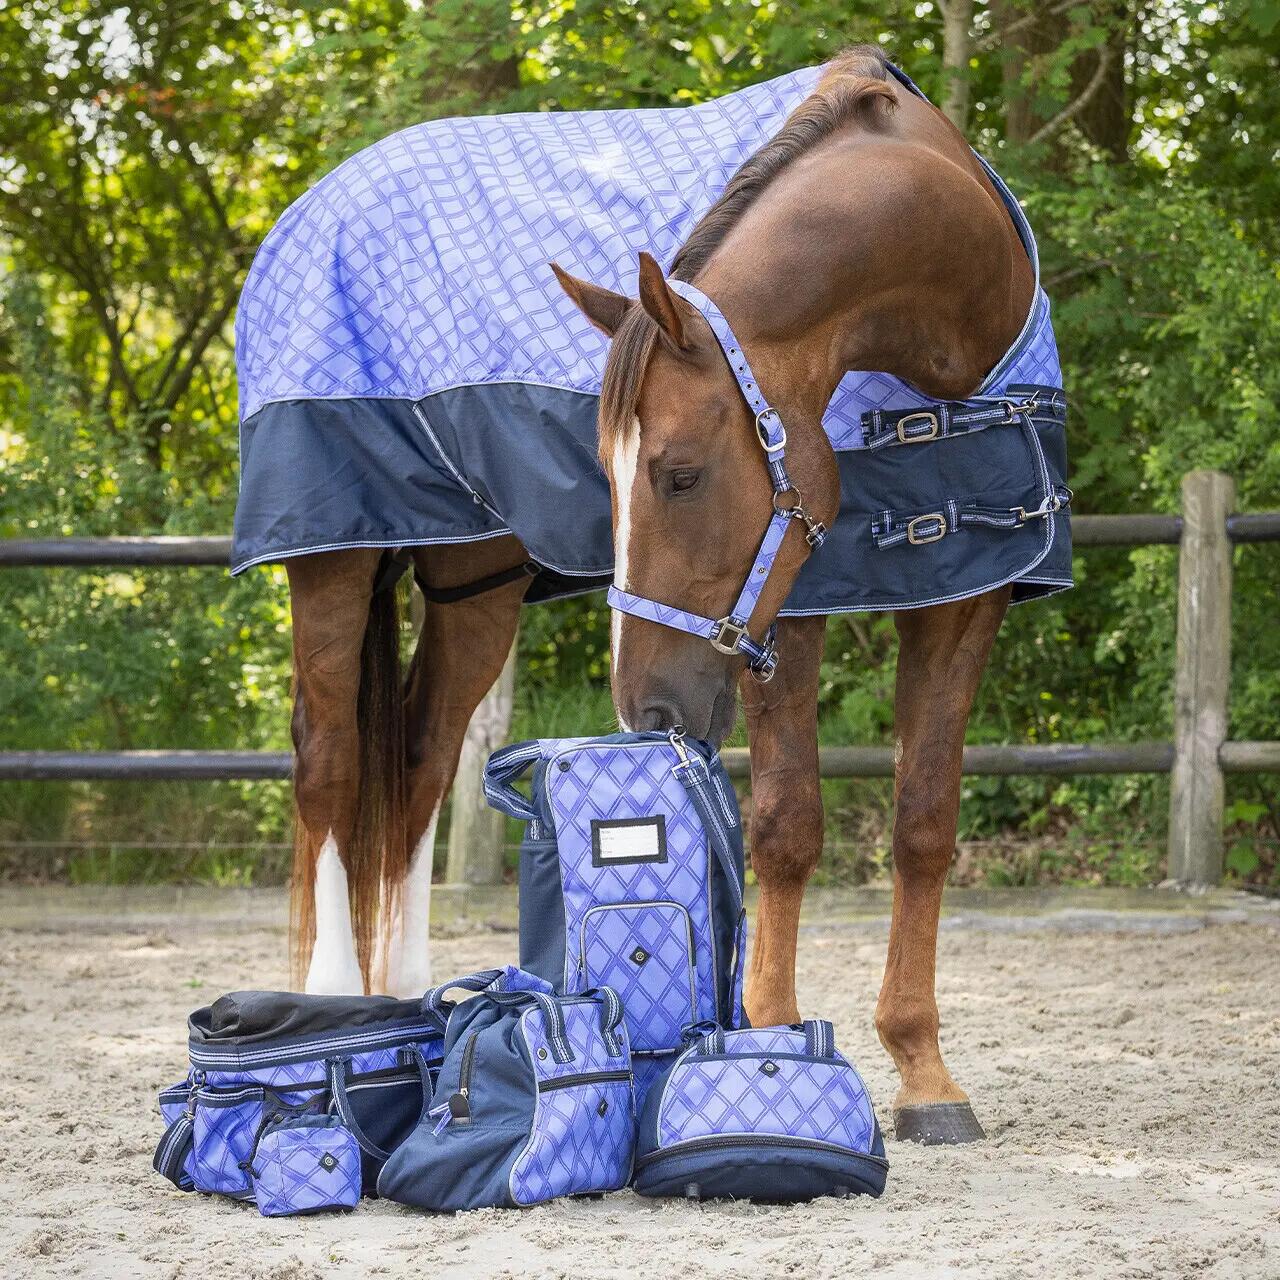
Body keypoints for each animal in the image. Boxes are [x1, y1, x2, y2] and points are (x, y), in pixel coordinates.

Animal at [242, 46, 1067, 1145]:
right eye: (608, 474)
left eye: (677, 474)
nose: (648, 710)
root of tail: (313, 204)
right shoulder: (787, 609)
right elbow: (786, 825)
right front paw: (769, 1031)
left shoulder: (967, 588)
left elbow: (924, 822)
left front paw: (925, 1072)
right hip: (333, 552)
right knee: (330, 761)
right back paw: (337, 999)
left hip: (473, 580)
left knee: (416, 761)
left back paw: (417, 1004)